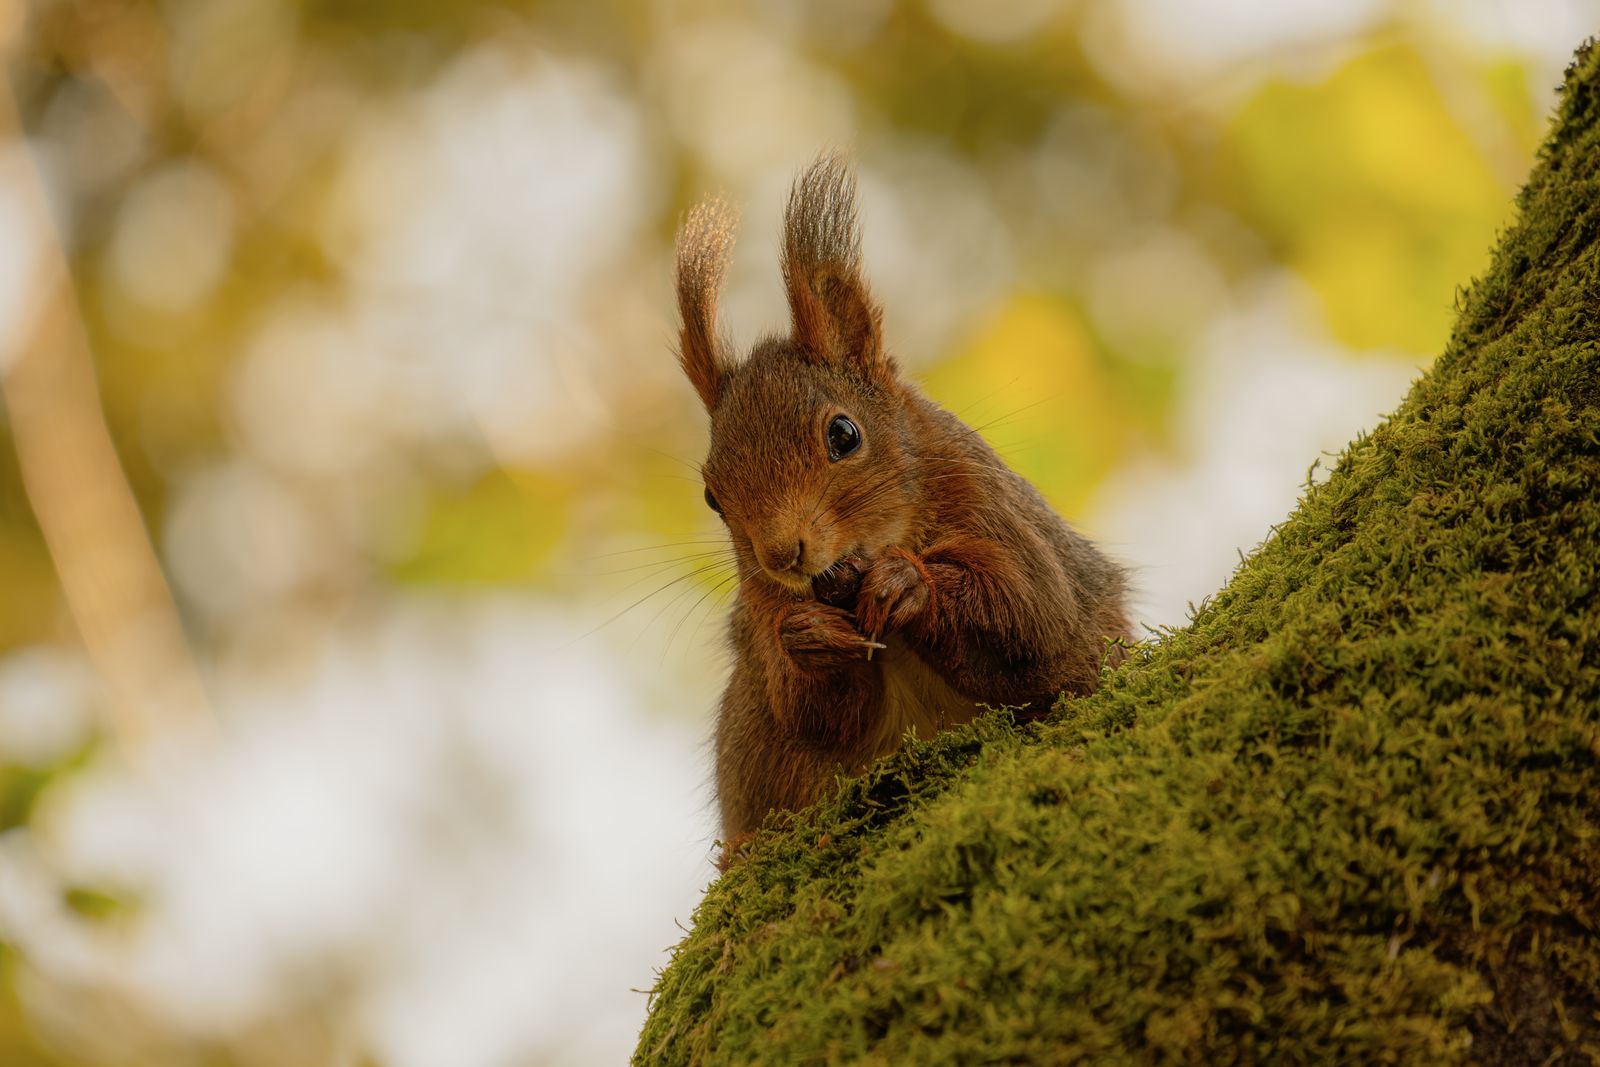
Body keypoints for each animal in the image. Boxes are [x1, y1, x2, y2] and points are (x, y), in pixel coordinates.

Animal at [672, 154, 1132, 846]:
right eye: (711, 496)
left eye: (843, 434)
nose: (782, 554)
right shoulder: (762, 606)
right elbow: (815, 710)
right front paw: (807, 635)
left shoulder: (998, 512)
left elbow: (1032, 610)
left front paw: (910, 584)